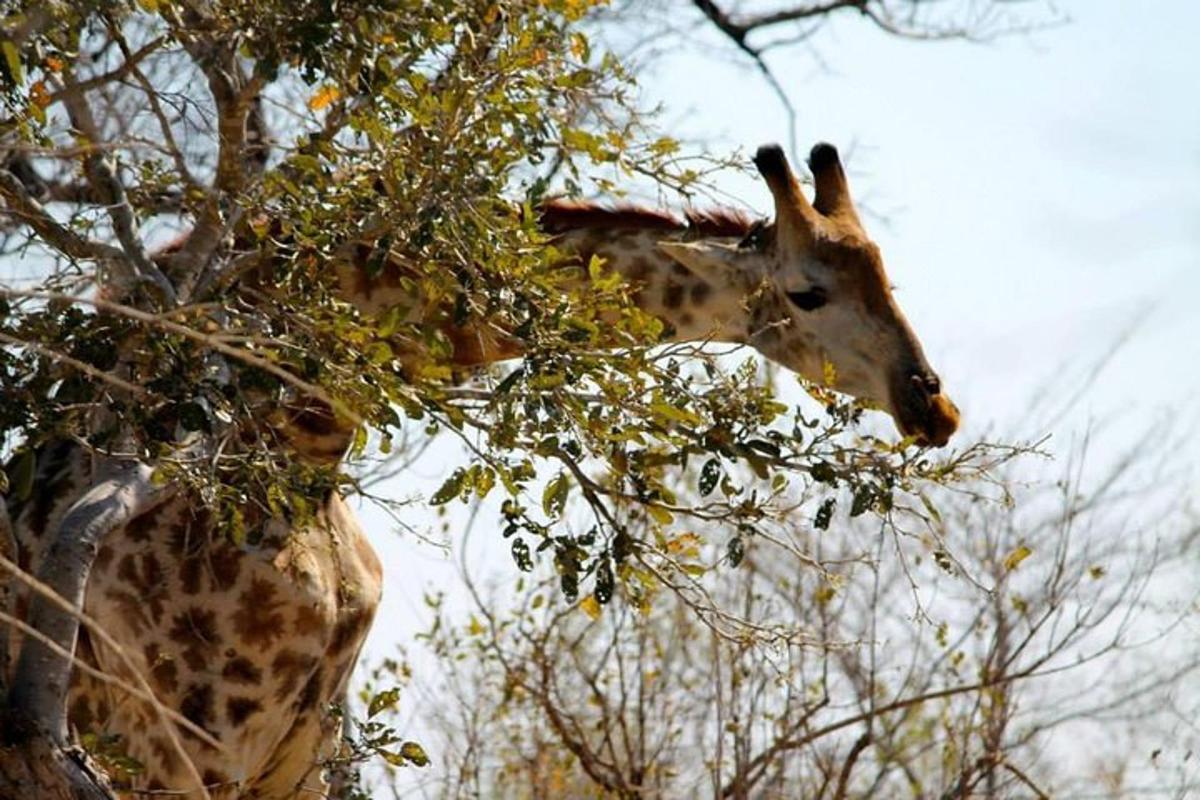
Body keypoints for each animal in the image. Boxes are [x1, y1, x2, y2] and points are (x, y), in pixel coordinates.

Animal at [0, 140, 955, 796]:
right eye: (807, 293)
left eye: (886, 273)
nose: (932, 404)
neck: (298, 453)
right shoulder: (178, 738)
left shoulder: (305, 743)